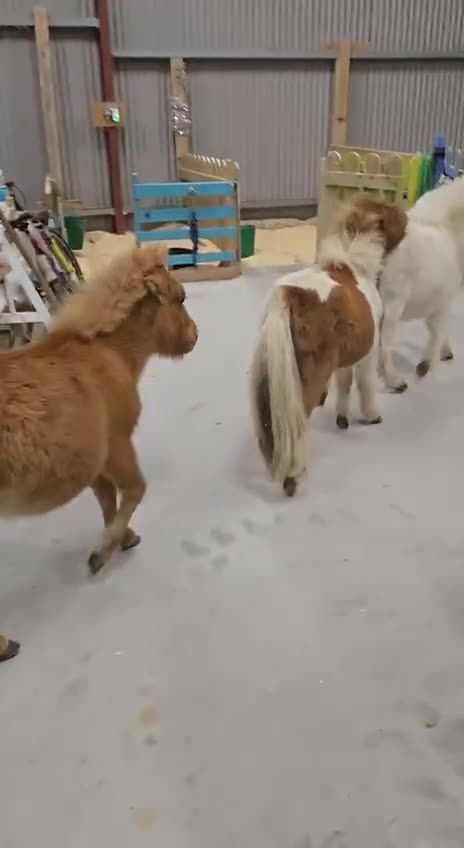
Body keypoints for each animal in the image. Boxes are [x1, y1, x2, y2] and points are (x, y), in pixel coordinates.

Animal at [0, 244, 198, 662]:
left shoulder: (96, 463)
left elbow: (108, 501)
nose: (194, 336)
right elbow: (135, 490)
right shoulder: (118, 444)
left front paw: (122, 538)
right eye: (181, 298)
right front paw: (100, 554)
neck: (106, 354)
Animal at [250, 195, 407, 497]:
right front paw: (372, 416)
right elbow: (366, 385)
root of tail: (290, 295)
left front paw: (342, 418)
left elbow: (344, 384)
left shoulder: (345, 357)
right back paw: (292, 477)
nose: (408, 216)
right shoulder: (368, 353)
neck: (355, 268)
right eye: (392, 212)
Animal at [379, 175, 464, 392]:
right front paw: (427, 364)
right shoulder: (443, 302)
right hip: (392, 307)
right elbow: (437, 331)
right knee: (384, 347)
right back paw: (396, 381)